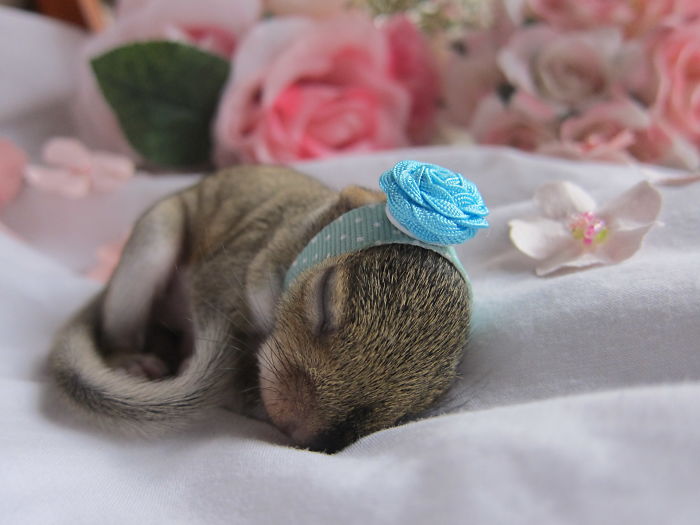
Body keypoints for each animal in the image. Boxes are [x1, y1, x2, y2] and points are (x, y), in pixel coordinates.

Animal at [49, 165, 471, 453]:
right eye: (322, 298)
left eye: (427, 394)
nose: (305, 433)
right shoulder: (226, 273)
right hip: (152, 244)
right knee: (116, 336)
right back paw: (133, 360)